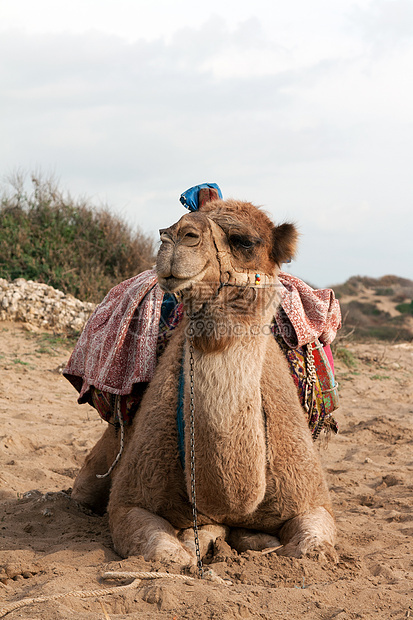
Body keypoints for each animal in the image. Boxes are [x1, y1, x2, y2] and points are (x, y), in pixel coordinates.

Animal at [71, 195, 334, 568]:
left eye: (245, 241)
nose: (176, 234)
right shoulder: (129, 501)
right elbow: (169, 556)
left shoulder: (312, 498)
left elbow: (308, 549)